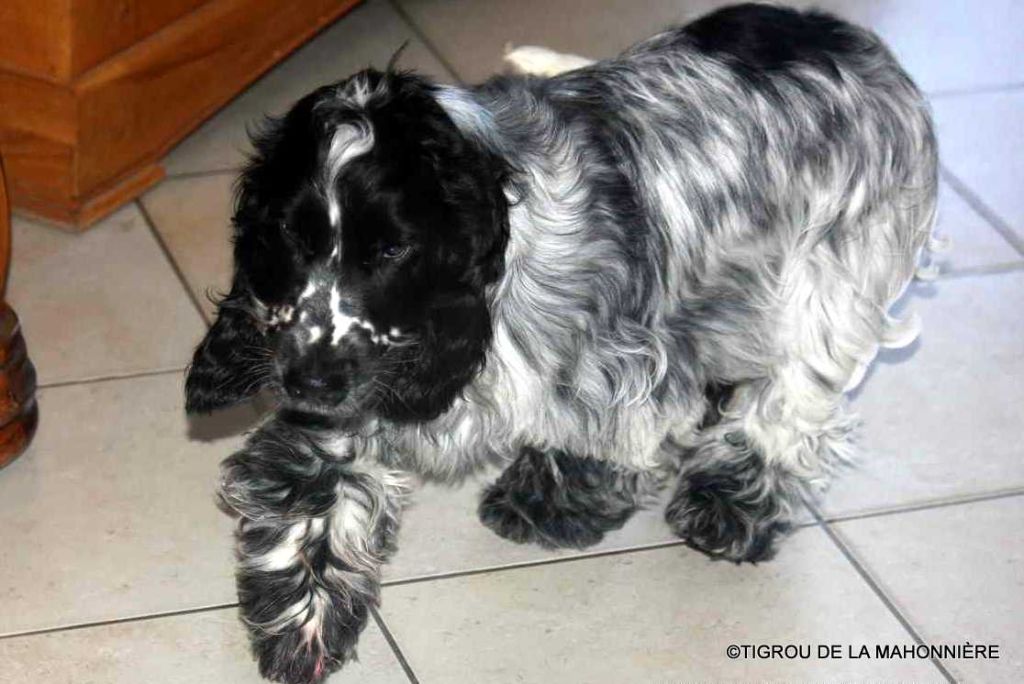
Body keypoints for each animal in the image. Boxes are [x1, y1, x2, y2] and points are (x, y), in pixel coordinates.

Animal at [184, 2, 937, 679]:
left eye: (390, 249)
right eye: (290, 238)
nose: (308, 382)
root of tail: (843, 36)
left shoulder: (612, 356)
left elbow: (599, 430)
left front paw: (552, 502)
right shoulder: (350, 380)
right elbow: (312, 490)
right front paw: (302, 624)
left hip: (827, 284)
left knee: (788, 403)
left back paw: (730, 505)